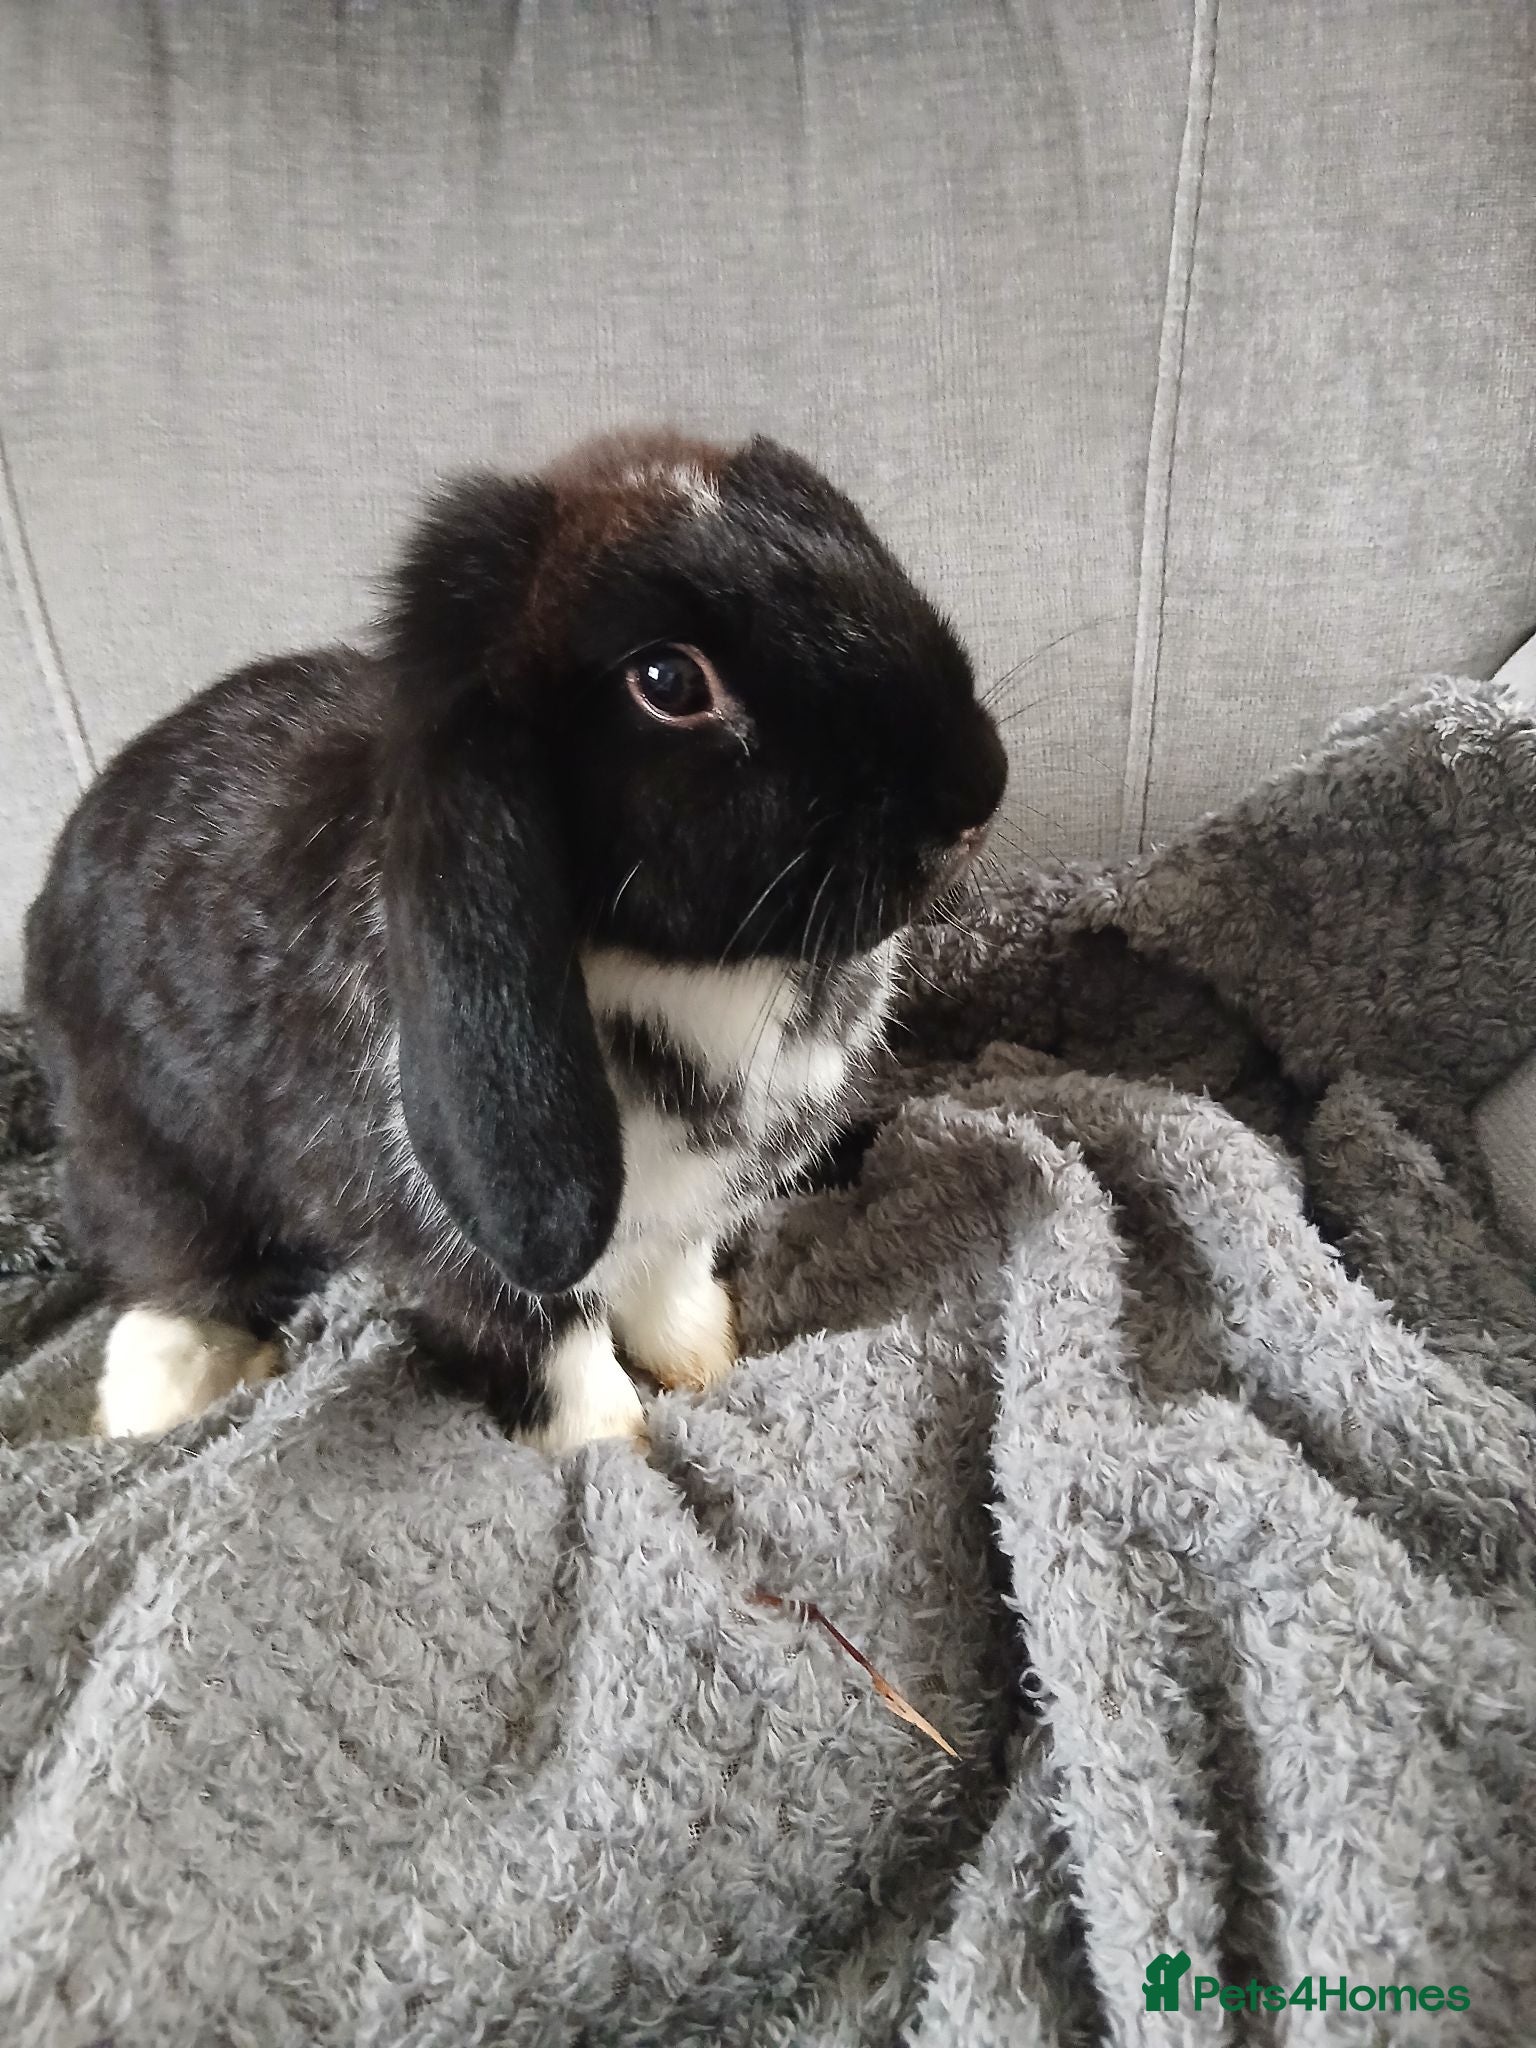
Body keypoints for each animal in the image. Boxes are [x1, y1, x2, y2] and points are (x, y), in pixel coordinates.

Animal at [25, 429, 1008, 1451]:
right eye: (669, 682)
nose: (975, 794)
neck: (692, 975)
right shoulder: (476, 1260)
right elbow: (560, 1359)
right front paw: (619, 1447)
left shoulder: (683, 1218)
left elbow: (672, 1289)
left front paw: (706, 1365)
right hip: (139, 1138)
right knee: (161, 1261)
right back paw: (166, 1395)